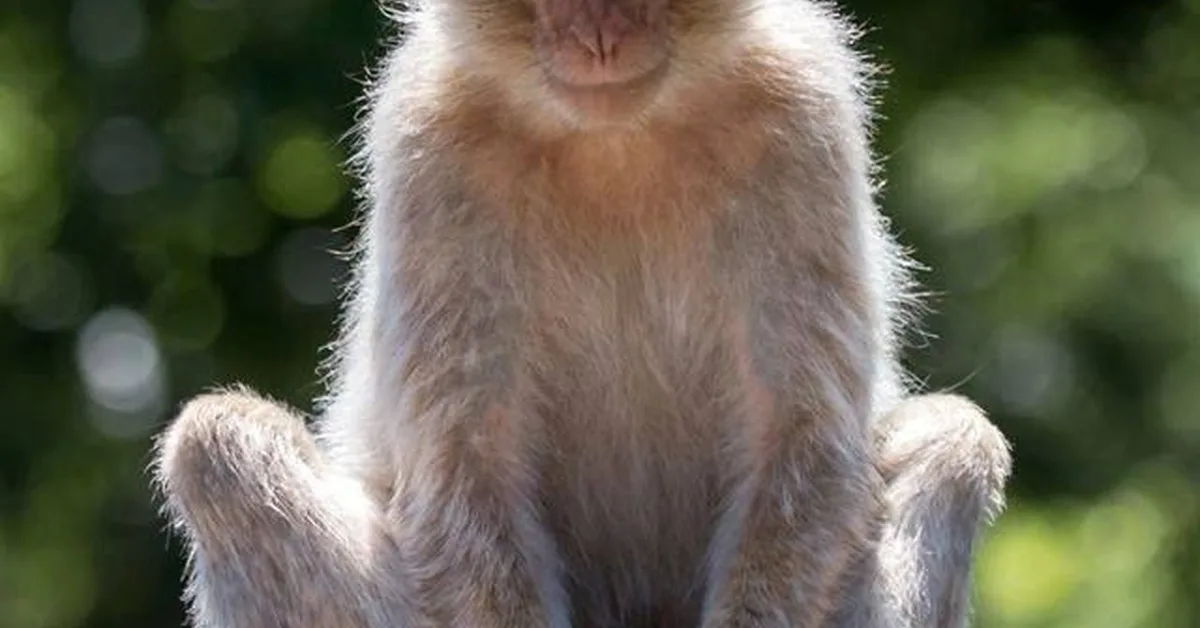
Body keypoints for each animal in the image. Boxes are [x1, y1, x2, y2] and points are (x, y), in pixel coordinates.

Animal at [154, 0, 1012, 624]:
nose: (599, 35)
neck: (616, 139)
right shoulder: (429, 137)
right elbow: (465, 463)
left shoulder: (801, 112)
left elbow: (801, 437)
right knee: (218, 444)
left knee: (953, 438)